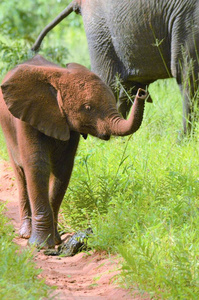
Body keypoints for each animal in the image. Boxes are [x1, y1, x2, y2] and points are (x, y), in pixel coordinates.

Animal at [0, 55, 146, 247]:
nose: (142, 92)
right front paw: (39, 245)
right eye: (88, 107)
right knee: (20, 173)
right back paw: (25, 234)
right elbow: (37, 166)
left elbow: (63, 169)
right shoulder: (27, 118)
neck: (59, 78)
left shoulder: (70, 126)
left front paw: (55, 240)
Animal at [32, 0, 199, 134]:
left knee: (128, 90)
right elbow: (188, 72)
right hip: (100, 31)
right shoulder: (188, 19)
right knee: (108, 85)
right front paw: (184, 141)